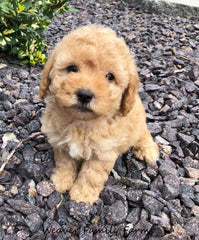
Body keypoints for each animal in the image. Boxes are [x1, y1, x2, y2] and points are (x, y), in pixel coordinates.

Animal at [39, 24, 159, 204]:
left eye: (110, 76)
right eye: (72, 68)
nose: (84, 95)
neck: (81, 122)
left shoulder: (102, 153)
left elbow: (91, 175)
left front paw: (82, 196)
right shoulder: (61, 143)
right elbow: (64, 164)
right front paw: (61, 181)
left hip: (138, 123)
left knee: (144, 133)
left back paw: (147, 150)